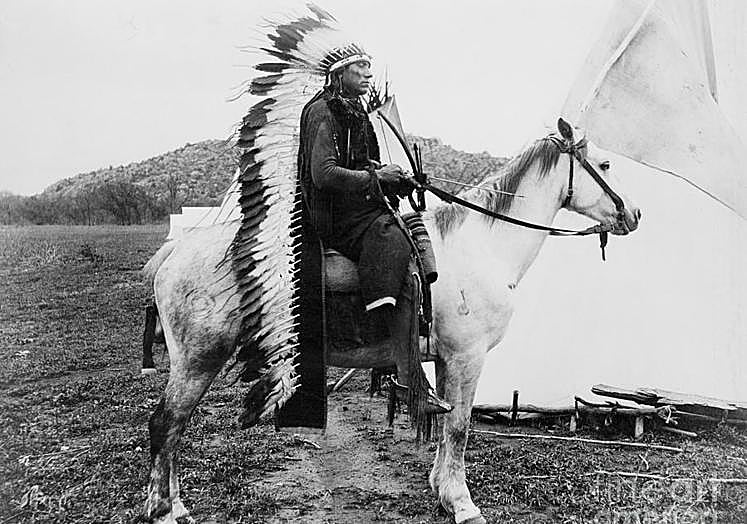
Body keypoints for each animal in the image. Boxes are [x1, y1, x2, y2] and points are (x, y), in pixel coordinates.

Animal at [141, 121, 641, 524]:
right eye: (605, 164)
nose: (634, 214)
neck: (481, 247)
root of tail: (177, 248)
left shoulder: (445, 360)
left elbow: (446, 428)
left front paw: (441, 490)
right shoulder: (467, 358)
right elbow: (459, 428)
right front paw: (463, 504)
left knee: (172, 427)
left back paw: (174, 504)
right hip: (198, 360)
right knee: (166, 423)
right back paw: (164, 510)